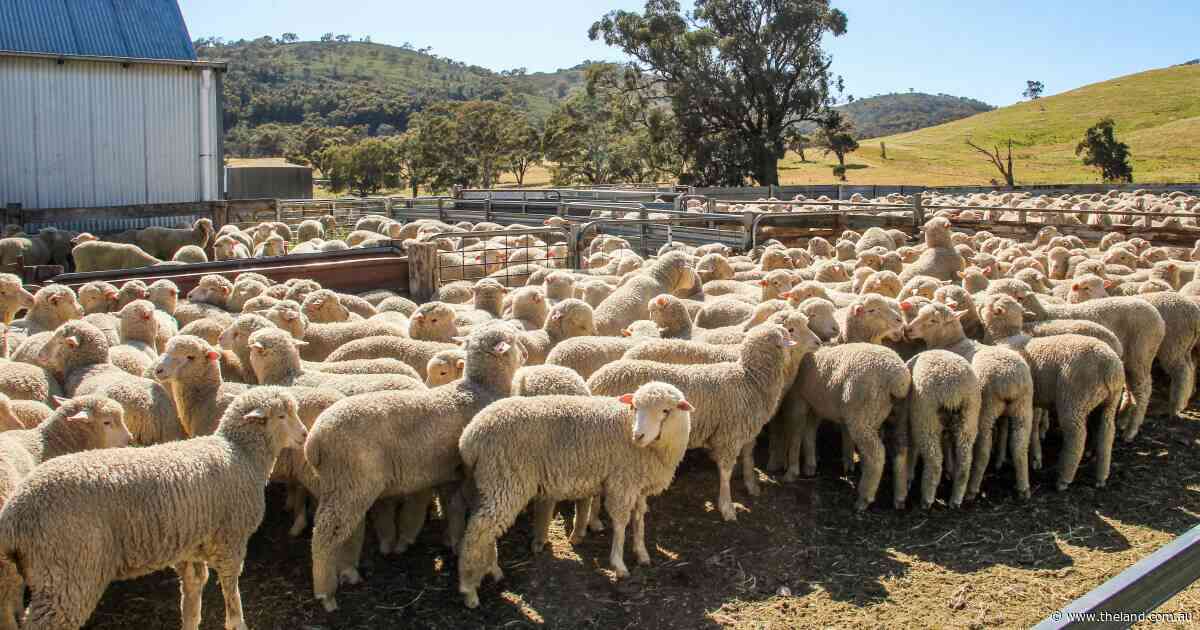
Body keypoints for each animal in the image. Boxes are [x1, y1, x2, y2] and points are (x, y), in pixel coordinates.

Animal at [0, 387, 304, 630]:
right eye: (281, 416)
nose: (303, 434)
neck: (241, 453)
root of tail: (14, 515)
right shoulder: (231, 540)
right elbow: (231, 591)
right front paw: (237, 622)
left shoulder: (190, 545)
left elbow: (192, 593)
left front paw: (190, 622)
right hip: (69, 571)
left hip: (44, 573)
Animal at [306, 325, 525, 611]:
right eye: (514, 339)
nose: (525, 354)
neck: (480, 389)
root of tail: (314, 439)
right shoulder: (477, 475)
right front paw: (490, 568)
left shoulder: (454, 474)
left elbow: (454, 510)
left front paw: (455, 544)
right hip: (350, 480)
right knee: (324, 534)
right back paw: (325, 593)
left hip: (343, 484)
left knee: (344, 529)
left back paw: (347, 571)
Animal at [457, 382, 694, 608]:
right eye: (634, 407)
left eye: (665, 411)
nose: (638, 436)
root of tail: (469, 437)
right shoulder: (622, 482)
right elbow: (621, 523)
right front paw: (619, 564)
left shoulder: (639, 485)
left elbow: (639, 519)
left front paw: (642, 553)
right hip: (504, 479)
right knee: (478, 532)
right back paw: (469, 590)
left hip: (487, 483)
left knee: (484, 529)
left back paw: (493, 570)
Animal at [589, 324, 819, 521]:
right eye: (789, 332)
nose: (818, 342)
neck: (750, 378)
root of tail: (595, 379)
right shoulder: (729, 434)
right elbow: (725, 472)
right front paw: (727, 507)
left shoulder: (745, 430)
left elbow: (748, 457)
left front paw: (751, 486)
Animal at [979, 294, 1124, 490]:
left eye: (990, 300)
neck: (1003, 336)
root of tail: (1109, 365)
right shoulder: (1034, 399)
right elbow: (1032, 426)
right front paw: (1034, 456)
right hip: (1110, 401)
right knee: (1107, 432)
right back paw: (1101, 476)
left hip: (1074, 399)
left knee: (1077, 436)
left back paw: (1063, 479)